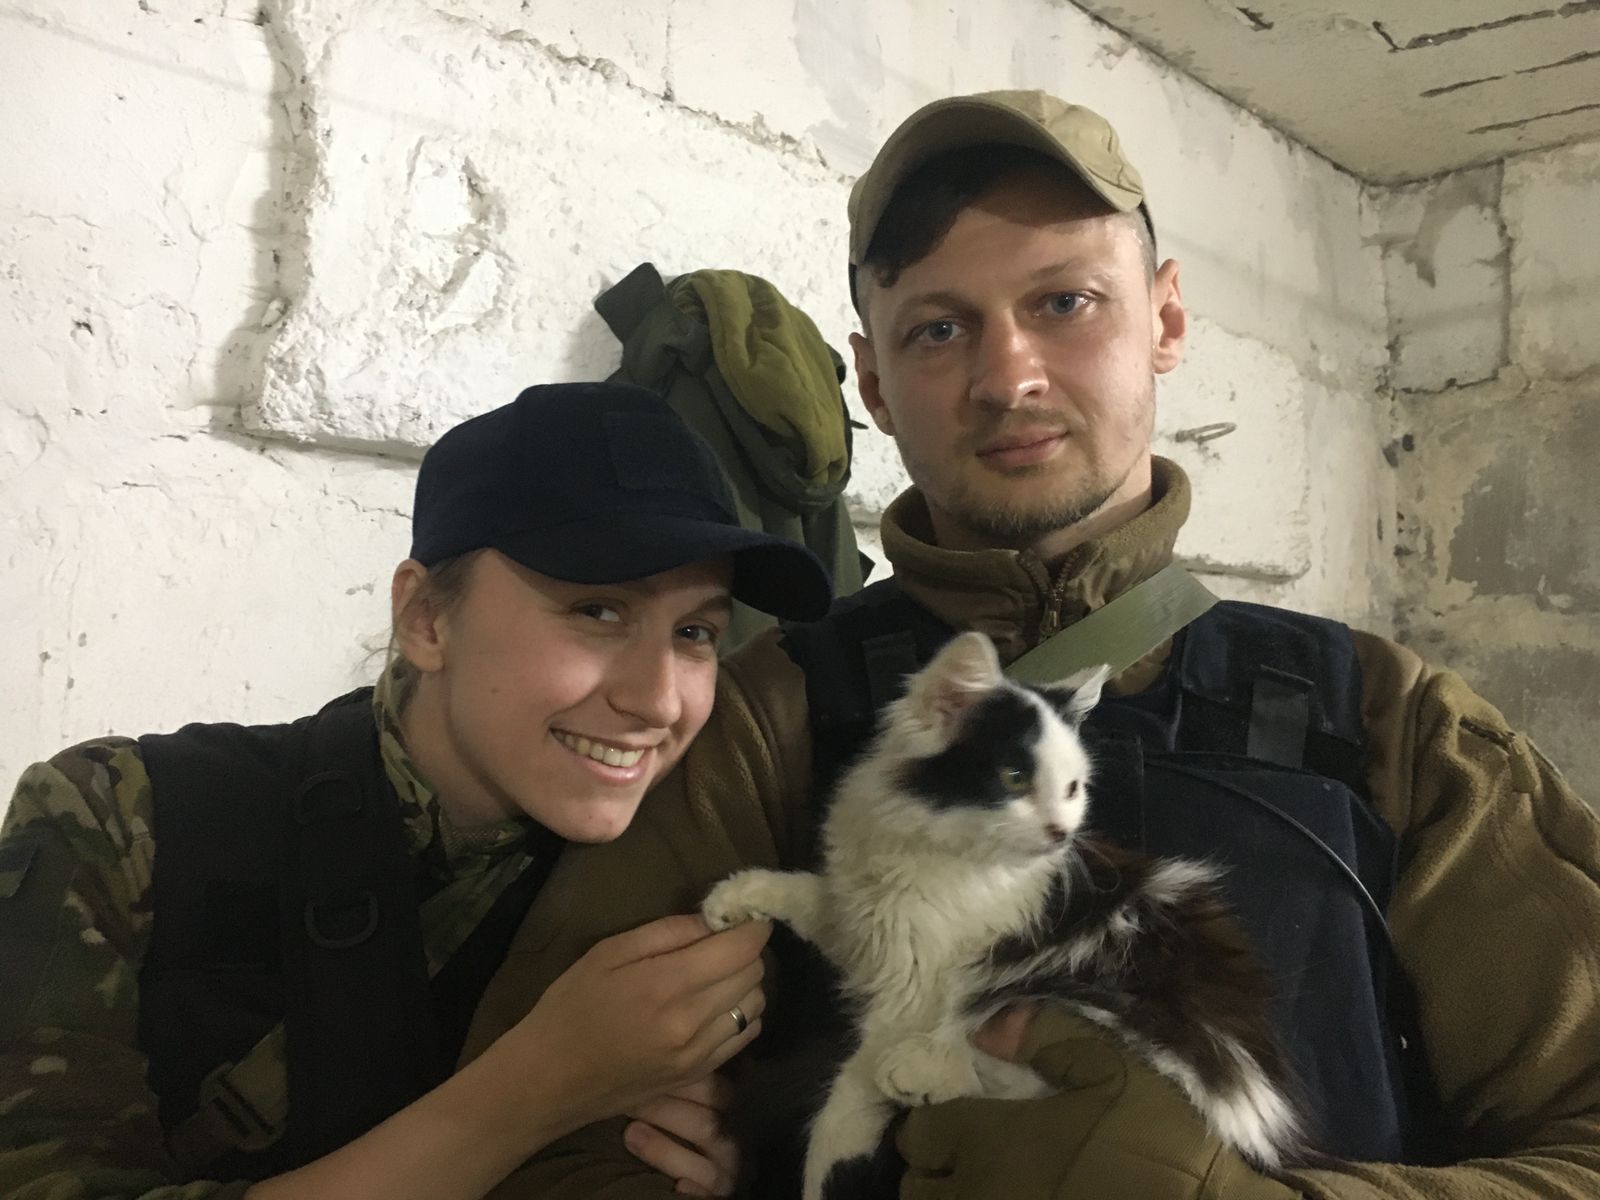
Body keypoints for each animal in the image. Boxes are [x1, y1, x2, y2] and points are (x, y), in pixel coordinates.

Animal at [707, 633, 1305, 1196]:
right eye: (1015, 778)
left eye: (1072, 789)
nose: (1061, 833)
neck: (935, 846)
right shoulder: (864, 926)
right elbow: (807, 894)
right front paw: (731, 900)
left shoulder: (915, 991)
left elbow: (846, 1098)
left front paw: (825, 1170)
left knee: (1025, 1086)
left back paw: (919, 1070)